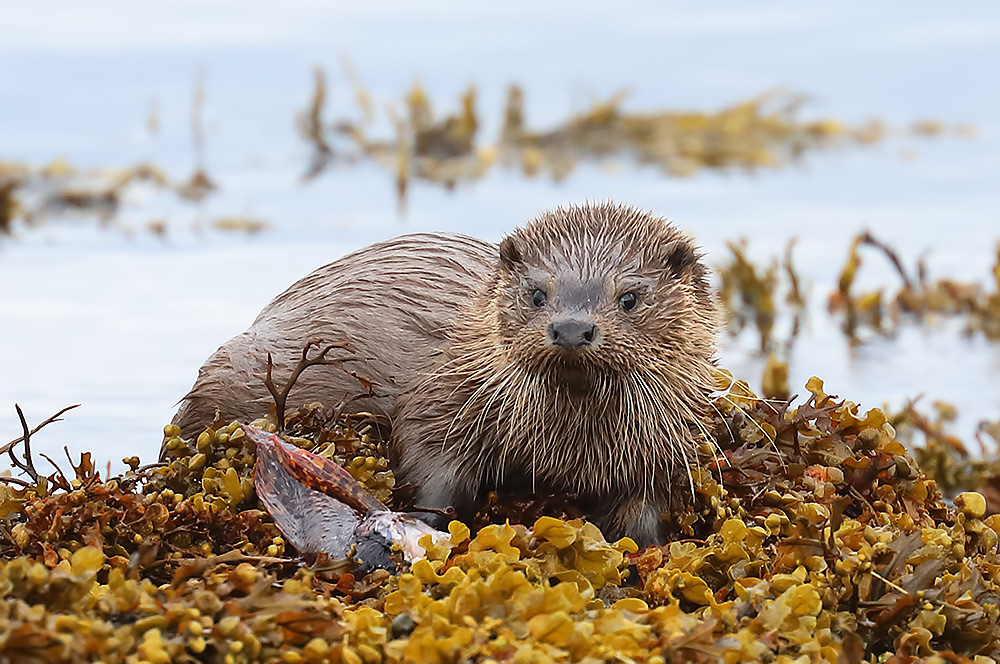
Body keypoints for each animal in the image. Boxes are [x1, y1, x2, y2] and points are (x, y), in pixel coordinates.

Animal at [170, 202, 717, 546]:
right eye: (538, 293)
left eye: (630, 297)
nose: (571, 327)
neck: (560, 446)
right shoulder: (443, 396)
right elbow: (430, 465)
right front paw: (425, 525)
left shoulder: (657, 447)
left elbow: (642, 511)